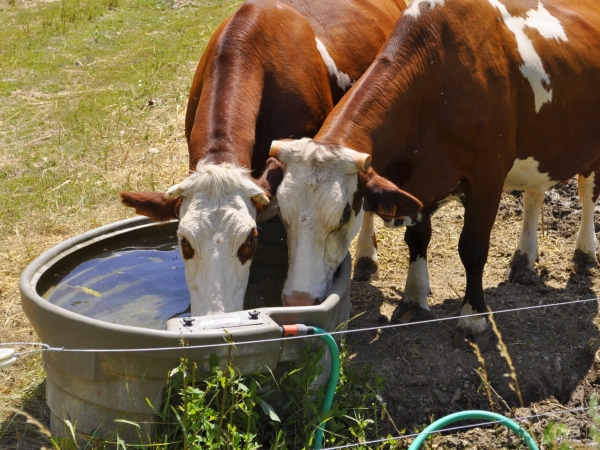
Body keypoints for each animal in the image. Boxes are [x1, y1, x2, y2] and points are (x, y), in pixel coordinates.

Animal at [270, 0, 600, 350]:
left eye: (344, 215)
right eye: (283, 214)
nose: (298, 300)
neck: (436, 81)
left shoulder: (487, 176)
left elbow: (473, 249)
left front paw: (473, 318)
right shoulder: (416, 181)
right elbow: (417, 236)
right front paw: (414, 299)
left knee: (587, 193)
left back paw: (584, 254)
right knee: (535, 193)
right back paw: (524, 260)